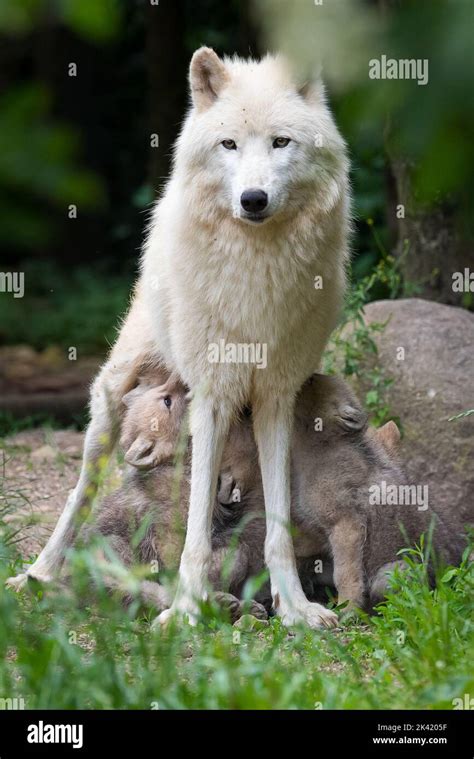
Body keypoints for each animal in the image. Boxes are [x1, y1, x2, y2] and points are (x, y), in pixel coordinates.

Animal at [7, 46, 350, 628]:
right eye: (229, 144)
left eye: (281, 142)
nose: (253, 199)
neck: (257, 269)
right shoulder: (211, 397)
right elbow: (194, 525)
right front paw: (187, 609)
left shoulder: (276, 397)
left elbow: (277, 522)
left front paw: (295, 608)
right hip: (109, 403)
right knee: (79, 492)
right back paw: (38, 574)